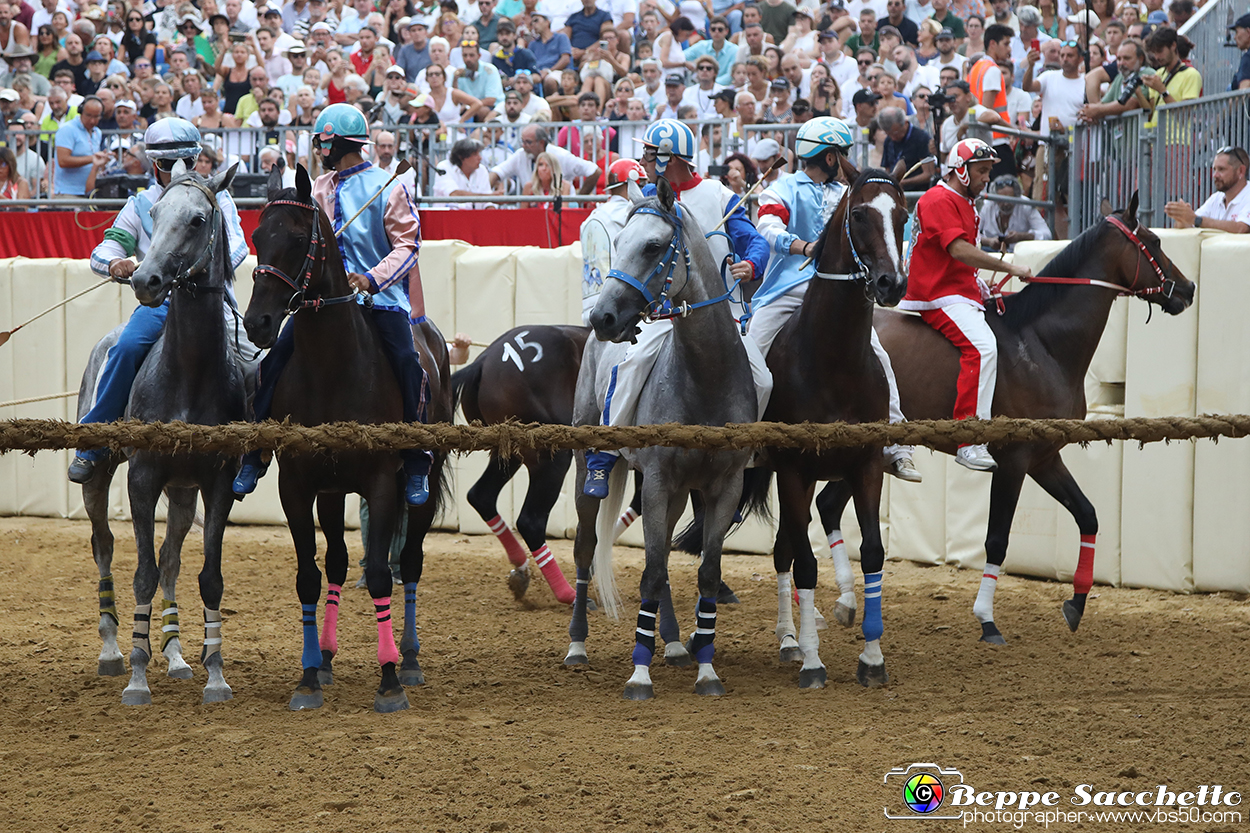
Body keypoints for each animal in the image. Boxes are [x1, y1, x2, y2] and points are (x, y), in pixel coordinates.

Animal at [241, 165, 452, 710]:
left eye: (297, 238)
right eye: (256, 236)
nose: (258, 322)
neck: (333, 369)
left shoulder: (380, 483)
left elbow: (380, 572)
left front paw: (390, 679)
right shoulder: (297, 486)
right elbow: (309, 577)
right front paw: (308, 677)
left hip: (418, 486)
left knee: (411, 561)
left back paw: (411, 658)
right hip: (332, 492)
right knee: (336, 563)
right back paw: (327, 658)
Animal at [565, 178, 750, 695]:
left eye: (651, 247)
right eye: (618, 243)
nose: (603, 317)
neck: (706, 377)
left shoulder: (723, 486)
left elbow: (705, 573)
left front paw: (706, 669)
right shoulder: (661, 480)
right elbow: (648, 575)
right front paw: (639, 674)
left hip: (670, 490)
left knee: (663, 555)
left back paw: (671, 643)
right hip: (590, 465)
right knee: (586, 547)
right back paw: (577, 645)